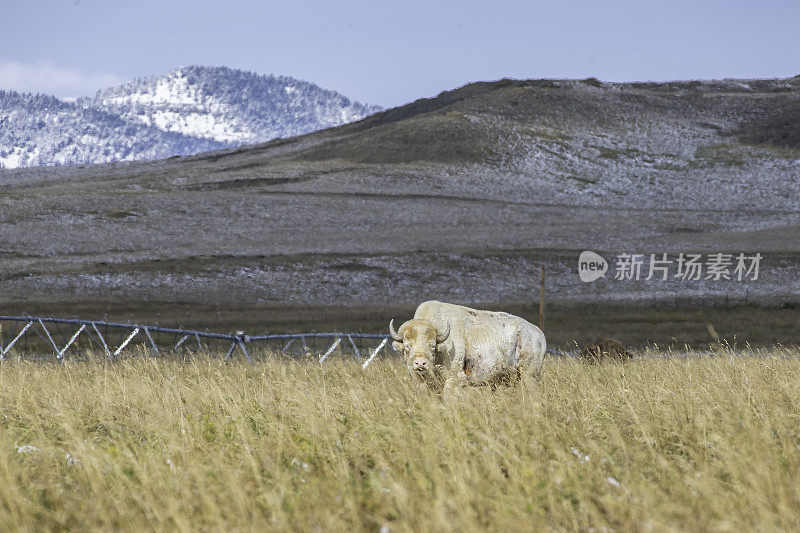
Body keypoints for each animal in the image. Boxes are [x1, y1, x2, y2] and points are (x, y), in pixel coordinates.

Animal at [390, 300, 548, 394]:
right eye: (407, 345)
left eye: (432, 346)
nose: (420, 363)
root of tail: (539, 334)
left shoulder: (454, 379)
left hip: (528, 374)